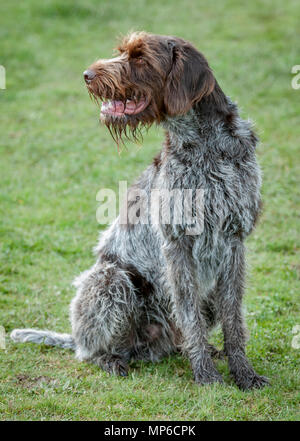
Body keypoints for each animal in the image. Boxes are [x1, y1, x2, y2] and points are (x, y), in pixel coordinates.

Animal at [10, 31, 268, 388]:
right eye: (122, 51)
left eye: (140, 58)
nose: (87, 75)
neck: (205, 145)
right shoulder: (177, 244)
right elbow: (189, 314)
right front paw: (205, 375)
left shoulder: (233, 241)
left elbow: (233, 317)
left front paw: (242, 372)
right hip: (111, 279)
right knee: (93, 350)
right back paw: (112, 359)